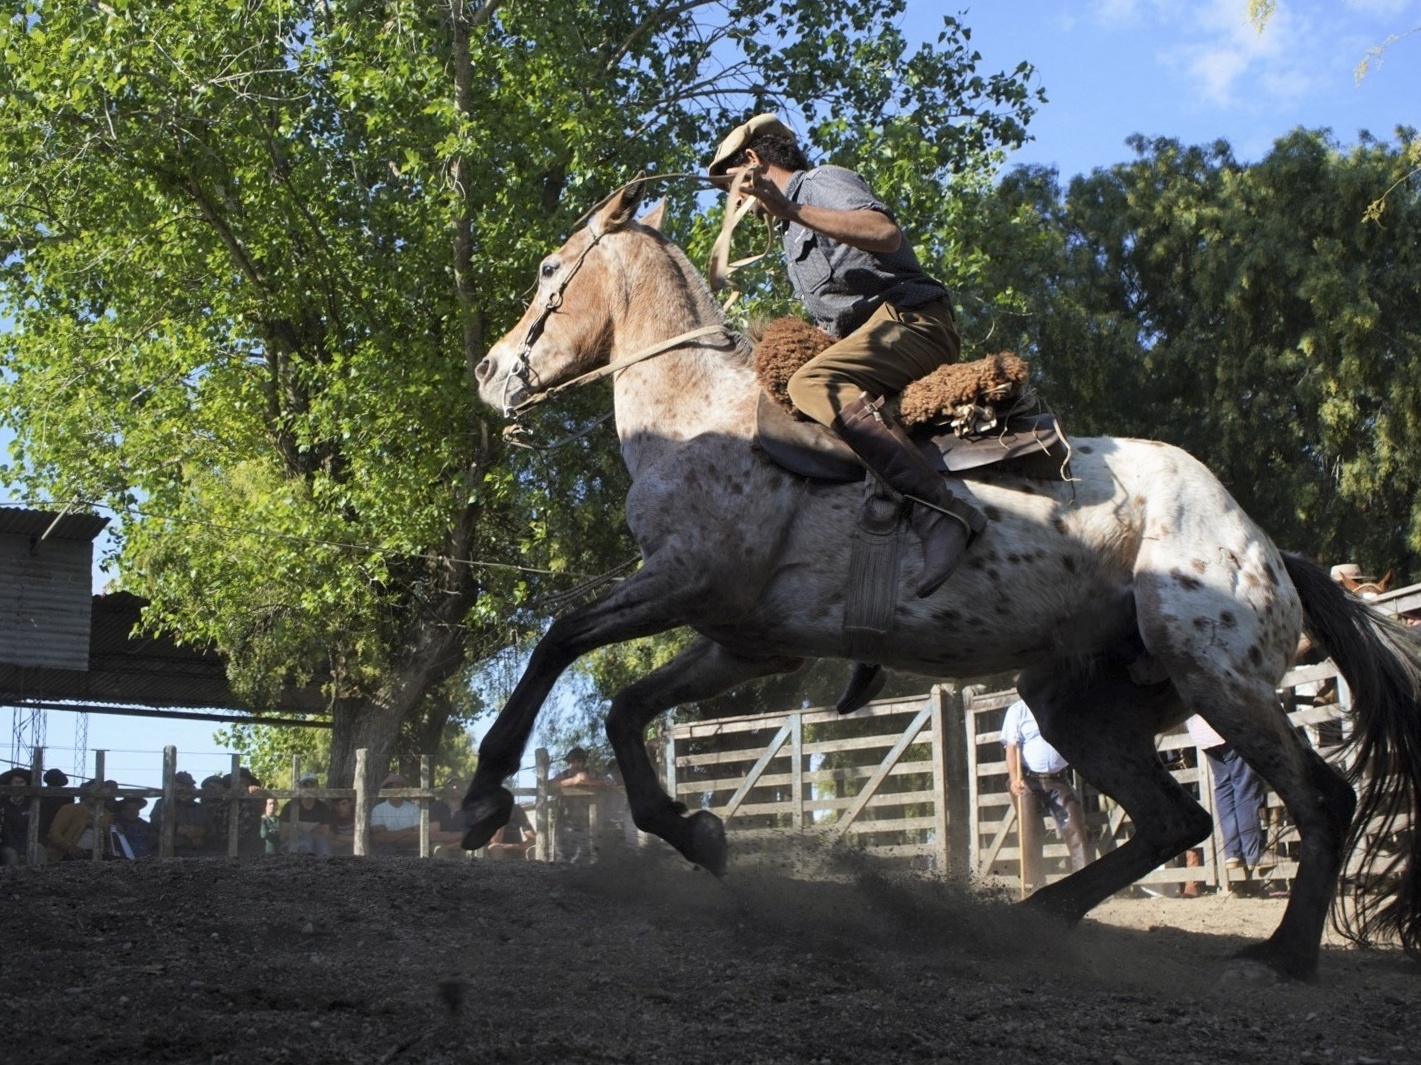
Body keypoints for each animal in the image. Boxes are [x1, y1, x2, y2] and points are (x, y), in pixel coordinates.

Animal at [463, 180, 1421, 978]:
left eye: (547, 268)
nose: (489, 370)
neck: (702, 411)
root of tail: (1266, 547)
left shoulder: (687, 582)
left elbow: (558, 641)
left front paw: (482, 795)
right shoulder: (745, 641)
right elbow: (626, 709)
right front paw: (694, 832)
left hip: (1215, 675)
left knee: (1321, 798)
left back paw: (1279, 956)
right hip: (1077, 700)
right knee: (1172, 818)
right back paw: (1029, 917)